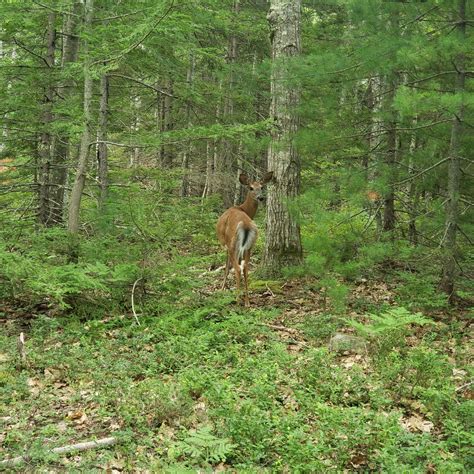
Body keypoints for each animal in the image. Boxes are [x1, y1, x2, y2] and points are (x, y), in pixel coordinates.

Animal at [216, 171, 274, 308]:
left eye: (261, 187)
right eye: (251, 187)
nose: (261, 197)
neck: (242, 208)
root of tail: (246, 225)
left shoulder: (226, 245)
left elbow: (227, 268)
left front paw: (222, 289)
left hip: (233, 243)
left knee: (237, 268)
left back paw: (238, 302)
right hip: (250, 245)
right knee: (246, 268)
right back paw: (247, 302)